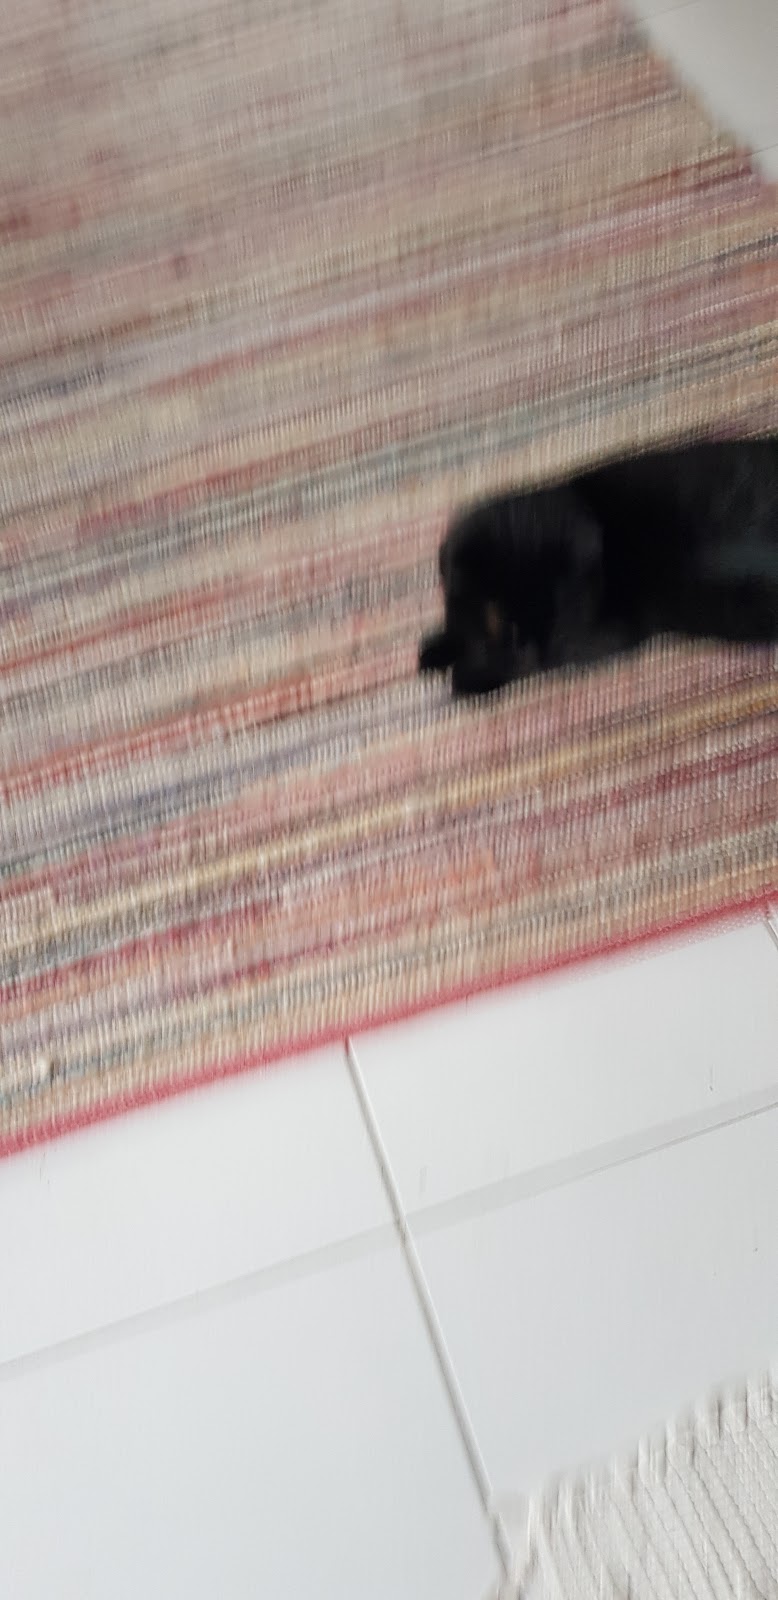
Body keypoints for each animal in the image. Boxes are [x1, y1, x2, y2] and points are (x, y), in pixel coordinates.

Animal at [418, 437, 778, 697]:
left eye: (557, 610)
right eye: (500, 621)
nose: (535, 648)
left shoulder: (596, 634)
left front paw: (465, 677)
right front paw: (436, 651)